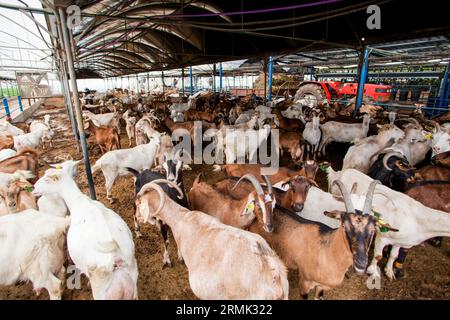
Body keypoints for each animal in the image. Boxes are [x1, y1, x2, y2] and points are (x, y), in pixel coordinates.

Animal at [32, 165, 138, 300]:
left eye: (47, 179)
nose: (33, 188)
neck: (78, 200)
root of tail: (116, 257)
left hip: (101, 291)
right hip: (133, 283)